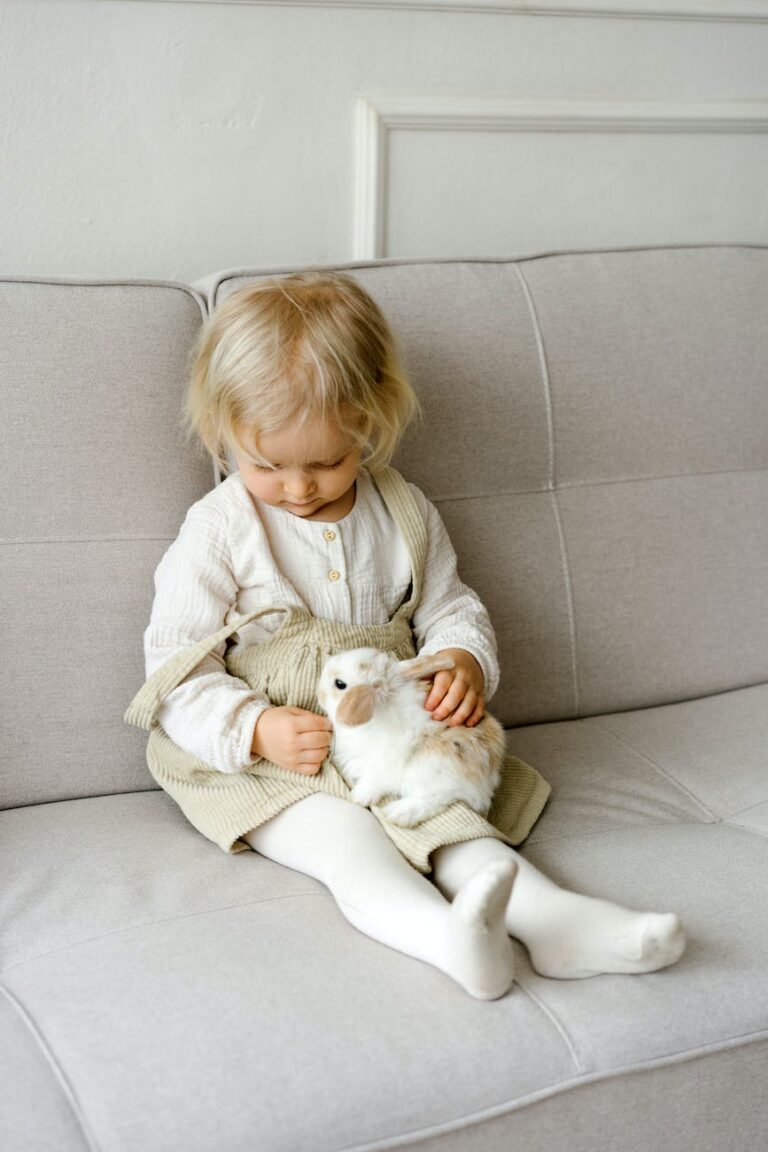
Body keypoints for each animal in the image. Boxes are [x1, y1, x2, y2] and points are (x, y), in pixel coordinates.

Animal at [315, 649, 506, 829]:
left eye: (339, 684)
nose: (319, 695)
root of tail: (488, 780)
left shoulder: (382, 762)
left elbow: (372, 781)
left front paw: (359, 797)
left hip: (432, 767)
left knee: (438, 798)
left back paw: (398, 813)